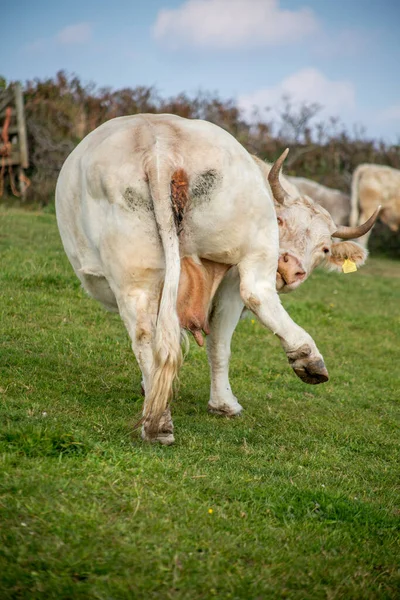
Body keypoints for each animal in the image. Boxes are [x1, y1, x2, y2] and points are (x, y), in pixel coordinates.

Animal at [55, 115, 378, 442]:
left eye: (324, 249)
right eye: (281, 221)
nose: (290, 269)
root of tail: (159, 145)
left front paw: (153, 387)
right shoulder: (228, 281)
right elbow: (219, 342)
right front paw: (221, 403)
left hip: (134, 273)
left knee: (144, 332)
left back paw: (158, 421)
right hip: (250, 250)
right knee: (253, 297)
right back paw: (303, 362)